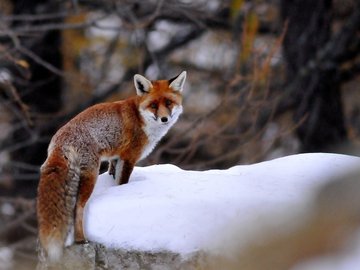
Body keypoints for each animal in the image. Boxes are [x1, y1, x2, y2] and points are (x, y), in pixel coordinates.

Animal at [38, 70, 187, 260]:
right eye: (153, 105)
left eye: (168, 103)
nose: (164, 118)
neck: (140, 118)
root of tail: (59, 139)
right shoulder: (129, 158)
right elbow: (122, 183)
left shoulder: (115, 158)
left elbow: (112, 175)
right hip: (91, 175)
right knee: (78, 208)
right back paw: (81, 240)